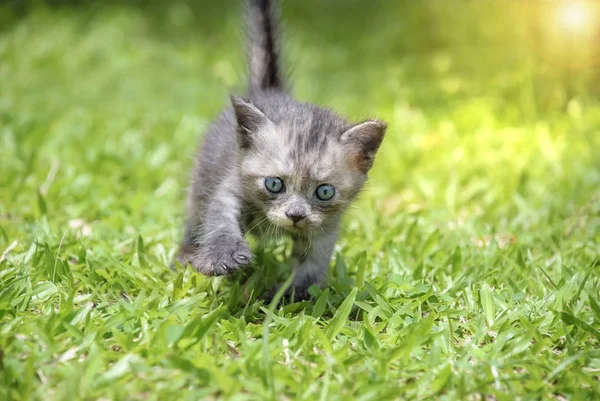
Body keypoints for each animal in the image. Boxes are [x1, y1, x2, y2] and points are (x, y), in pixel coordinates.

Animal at [176, 0, 386, 300]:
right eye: (274, 184)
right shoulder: (229, 187)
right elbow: (220, 220)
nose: (295, 216)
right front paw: (222, 255)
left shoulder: (326, 226)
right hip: (200, 180)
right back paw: (185, 254)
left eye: (324, 191)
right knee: (195, 214)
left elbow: (313, 261)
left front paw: (292, 293)